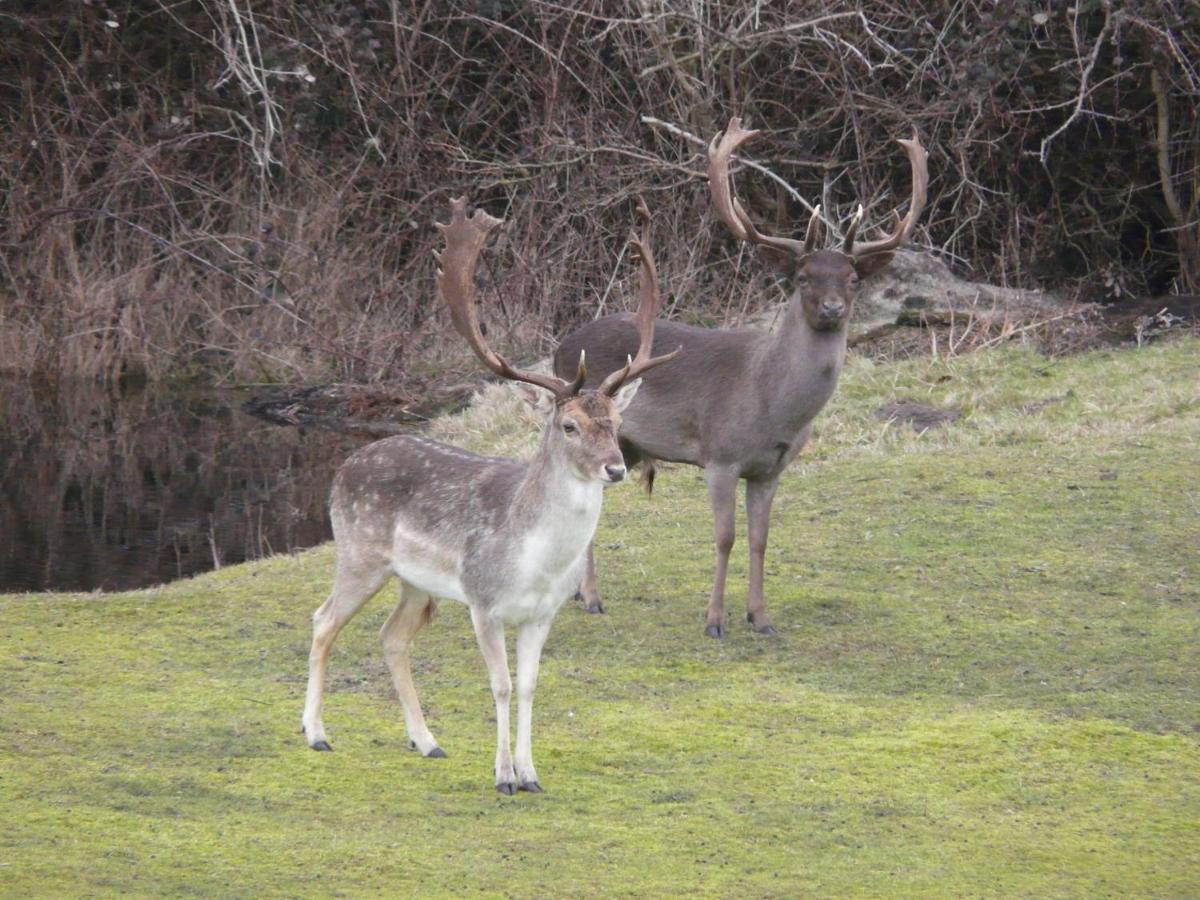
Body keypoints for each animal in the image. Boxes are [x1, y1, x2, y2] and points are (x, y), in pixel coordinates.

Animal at [300, 199, 676, 796]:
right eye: (568, 425)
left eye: (617, 423)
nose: (615, 468)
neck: (537, 562)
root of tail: (346, 465)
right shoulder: (483, 601)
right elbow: (499, 685)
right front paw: (503, 776)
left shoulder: (542, 613)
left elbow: (529, 686)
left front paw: (531, 773)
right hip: (358, 551)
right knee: (323, 620)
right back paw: (316, 733)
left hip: (416, 583)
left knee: (391, 637)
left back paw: (427, 741)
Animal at [552, 118, 926, 643]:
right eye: (803, 278)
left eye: (853, 280)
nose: (834, 309)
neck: (772, 405)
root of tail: (563, 344)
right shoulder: (720, 456)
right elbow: (725, 537)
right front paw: (714, 620)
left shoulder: (771, 469)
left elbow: (760, 539)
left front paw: (761, 618)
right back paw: (591, 597)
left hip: (621, 446)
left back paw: (578, 593)